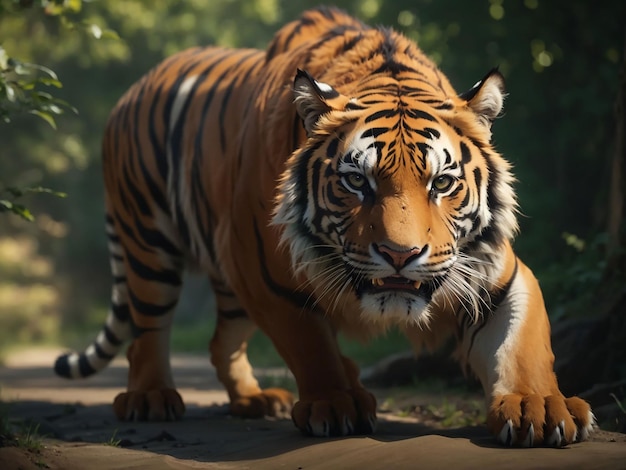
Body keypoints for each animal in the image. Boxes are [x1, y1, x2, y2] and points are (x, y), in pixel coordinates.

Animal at [52, 8, 588, 448]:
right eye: (356, 181)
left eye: (441, 183)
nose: (400, 254)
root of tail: (134, 87)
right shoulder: (262, 269)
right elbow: (309, 341)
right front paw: (336, 401)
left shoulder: (496, 274)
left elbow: (521, 343)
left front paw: (538, 406)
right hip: (149, 242)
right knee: (147, 326)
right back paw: (151, 398)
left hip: (226, 279)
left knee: (221, 340)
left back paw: (253, 399)